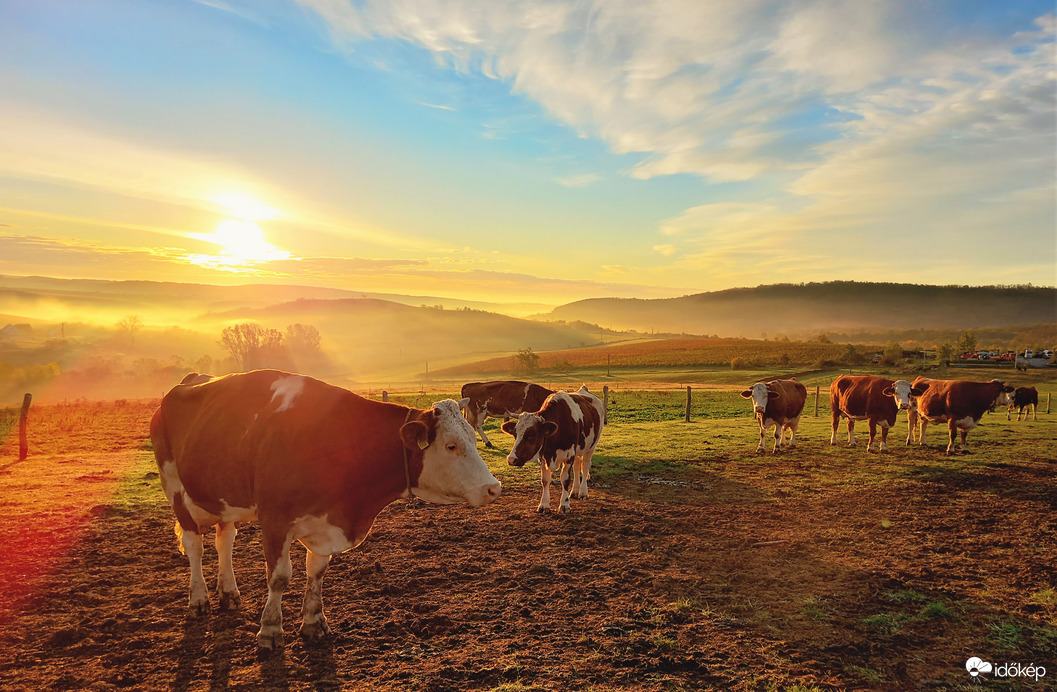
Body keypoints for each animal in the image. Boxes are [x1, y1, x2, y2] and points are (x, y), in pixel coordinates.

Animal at [149, 371, 503, 650]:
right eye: (451, 446)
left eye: (473, 438)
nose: (493, 487)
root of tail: (190, 381)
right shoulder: (275, 519)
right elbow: (279, 577)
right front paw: (270, 630)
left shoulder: (326, 524)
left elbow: (316, 572)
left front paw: (313, 623)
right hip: (174, 485)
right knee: (194, 546)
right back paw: (199, 600)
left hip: (221, 496)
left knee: (225, 540)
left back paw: (229, 592)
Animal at [501, 386, 604, 517]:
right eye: (515, 433)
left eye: (531, 434)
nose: (511, 459)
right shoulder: (544, 457)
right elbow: (545, 480)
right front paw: (544, 505)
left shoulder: (569, 455)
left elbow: (565, 479)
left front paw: (564, 505)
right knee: (577, 467)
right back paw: (575, 491)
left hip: (591, 446)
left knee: (585, 467)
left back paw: (583, 493)